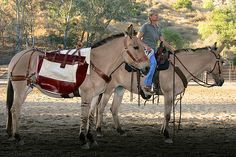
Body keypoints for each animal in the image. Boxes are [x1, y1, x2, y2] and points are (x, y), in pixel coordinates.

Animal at [5, 24, 149, 148]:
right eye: (136, 47)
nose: (147, 68)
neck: (95, 64)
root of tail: (18, 56)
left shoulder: (95, 96)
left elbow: (91, 115)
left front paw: (91, 138)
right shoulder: (86, 96)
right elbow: (84, 116)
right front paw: (83, 140)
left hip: (26, 89)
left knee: (15, 110)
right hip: (20, 89)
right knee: (15, 109)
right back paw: (18, 137)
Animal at [95, 42, 224, 144]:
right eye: (222, 62)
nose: (222, 81)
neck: (178, 67)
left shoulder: (173, 95)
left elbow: (167, 113)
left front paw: (162, 131)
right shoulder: (168, 94)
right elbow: (167, 115)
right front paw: (166, 135)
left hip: (119, 89)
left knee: (113, 109)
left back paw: (121, 131)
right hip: (108, 89)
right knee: (101, 107)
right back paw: (99, 130)